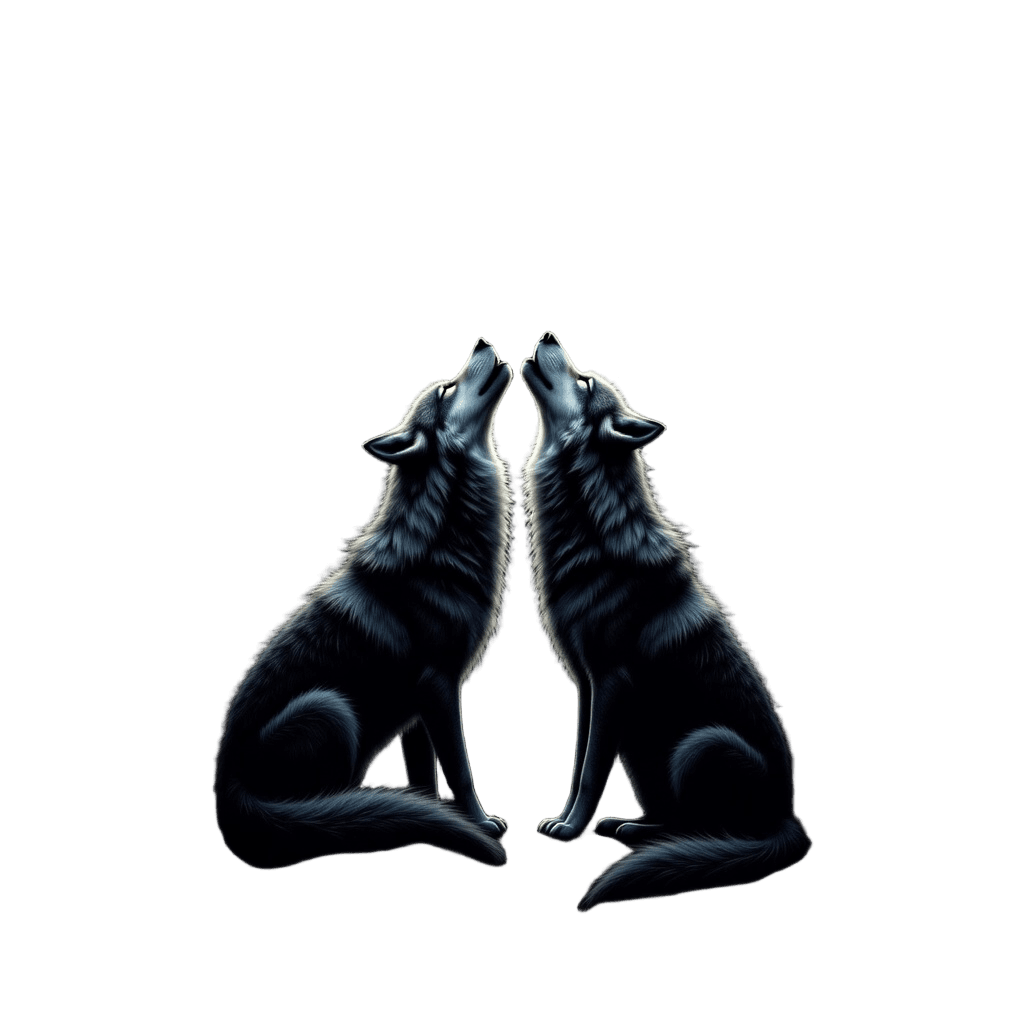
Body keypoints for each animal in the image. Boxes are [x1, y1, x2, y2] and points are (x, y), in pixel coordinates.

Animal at [214, 338, 515, 870]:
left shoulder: (416, 705)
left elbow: (424, 775)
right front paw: (476, 824)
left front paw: (430, 813)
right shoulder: (439, 687)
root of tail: (226, 797)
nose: (480, 343)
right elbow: (459, 769)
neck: (440, 547)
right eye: (446, 389)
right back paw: (350, 813)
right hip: (330, 709)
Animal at [519, 331, 812, 911]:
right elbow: (580, 764)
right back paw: (630, 826)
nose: (548, 336)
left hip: (700, 745)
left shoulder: (610, 682)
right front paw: (565, 820)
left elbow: (590, 771)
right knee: (672, 815)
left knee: (707, 829)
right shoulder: (587, 684)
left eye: (584, 381)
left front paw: (569, 830)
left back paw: (643, 836)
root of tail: (790, 819)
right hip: (643, 751)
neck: (592, 533)